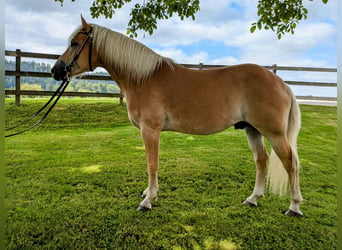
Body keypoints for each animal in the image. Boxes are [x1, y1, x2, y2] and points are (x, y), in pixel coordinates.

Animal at [52, 15, 304, 216]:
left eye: (75, 43)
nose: (56, 71)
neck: (143, 79)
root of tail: (281, 83)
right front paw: (148, 192)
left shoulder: (150, 130)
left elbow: (151, 163)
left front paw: (148, 200)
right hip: (252, 130)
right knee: (261, 160)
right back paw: (253, 198)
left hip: (274, 133)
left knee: (290, 163)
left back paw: (294, 206)